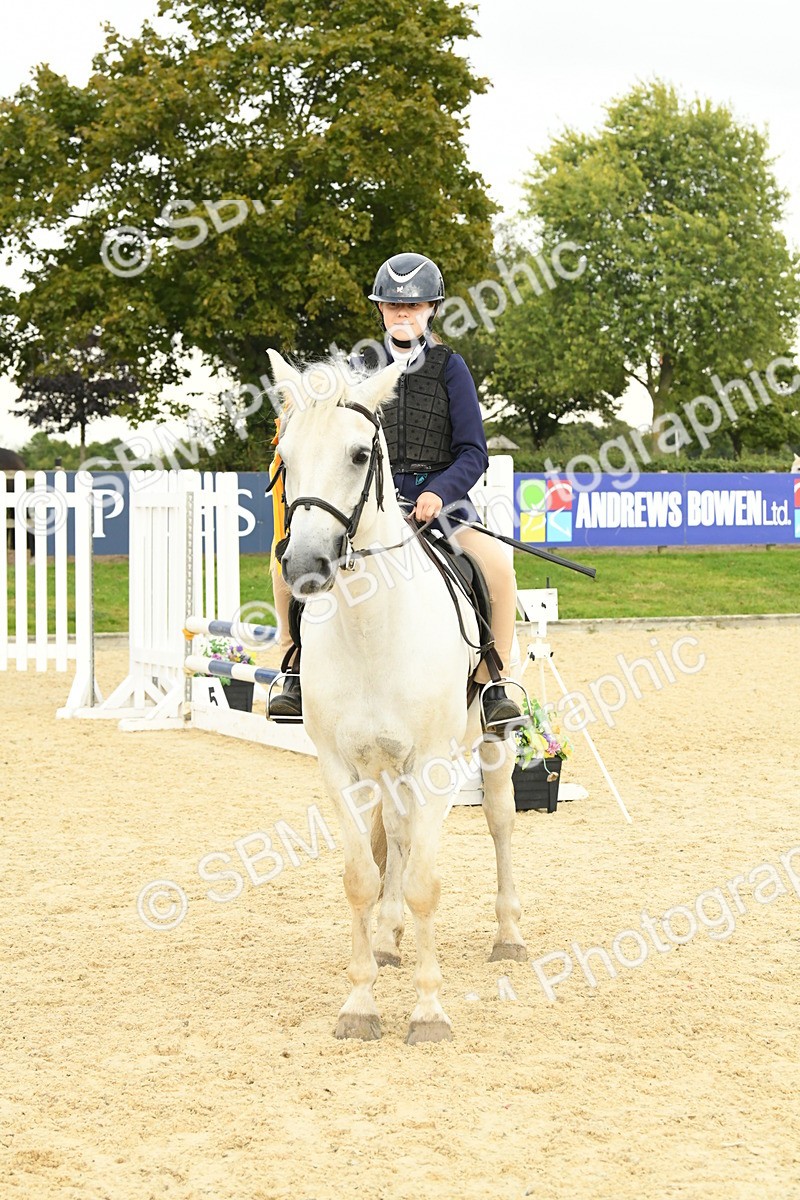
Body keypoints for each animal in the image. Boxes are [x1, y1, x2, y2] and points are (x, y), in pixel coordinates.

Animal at [268, 350, 526, 1045]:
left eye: (361, 455)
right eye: (286, 457)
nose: (305, 565)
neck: (371, 631)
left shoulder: (435, 760)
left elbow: (425, 882)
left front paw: (429, 1013)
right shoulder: (340, 765)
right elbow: (364, 874)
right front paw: (360, 1003)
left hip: (489, 742)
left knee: (498, 820)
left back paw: (509, 935)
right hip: (385, 766)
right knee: (397, 834)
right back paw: (387, 940)